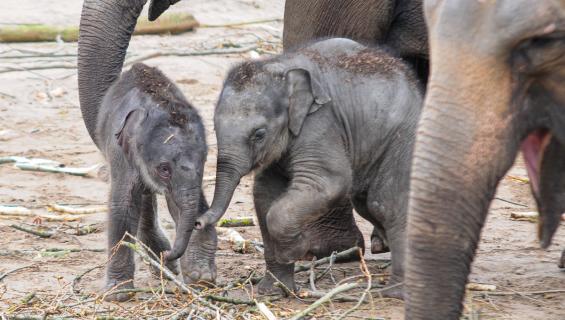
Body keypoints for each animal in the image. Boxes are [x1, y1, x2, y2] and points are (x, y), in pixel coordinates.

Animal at [97, 63, 216, 302]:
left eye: (205, 161)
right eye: (164, 169)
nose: (168, 254)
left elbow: (183, 204)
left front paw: (200, 277)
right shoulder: (121, 154)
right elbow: (123, 206)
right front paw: (118, 293)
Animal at [198, 38, 424, 296]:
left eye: (259, 134)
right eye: (214, 128)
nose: (199, 223)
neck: (279, 66)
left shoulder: (321, 123)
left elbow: (330, 182)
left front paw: (298, 250)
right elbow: (264, 195)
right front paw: (274, 291)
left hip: (403, 138)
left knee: (386, 203)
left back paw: (397, 293)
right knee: (367, 204)